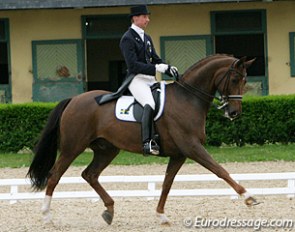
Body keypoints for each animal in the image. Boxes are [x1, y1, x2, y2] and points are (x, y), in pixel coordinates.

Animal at [27, 54, 258, 225]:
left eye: (245, 81)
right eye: (235, 79)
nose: (234, 113)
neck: (187, 98)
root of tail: (74, 99)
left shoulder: (179, 154)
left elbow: (167, 183)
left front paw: (161, 215)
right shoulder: (192, 147)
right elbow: (220, 170)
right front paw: (248, 197)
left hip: (107, 149)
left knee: (90, 174)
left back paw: (109, 210)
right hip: (72, 147)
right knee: (55, 175)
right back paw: (46, 216)